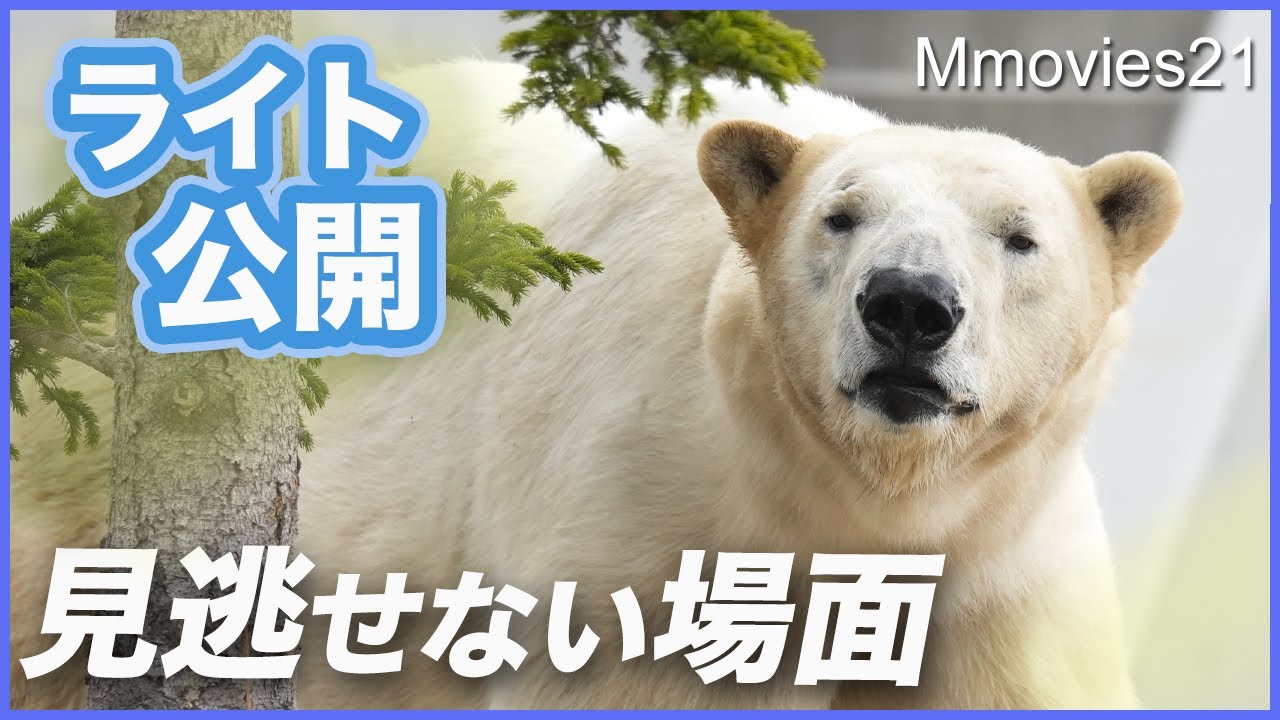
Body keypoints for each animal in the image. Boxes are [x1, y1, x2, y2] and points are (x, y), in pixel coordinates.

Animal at [9, 59, 1182, 709]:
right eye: (838, 216)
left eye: (1020, 237)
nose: (908, 305)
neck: (866, 503)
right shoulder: (653, 496)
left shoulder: (1003, 571)